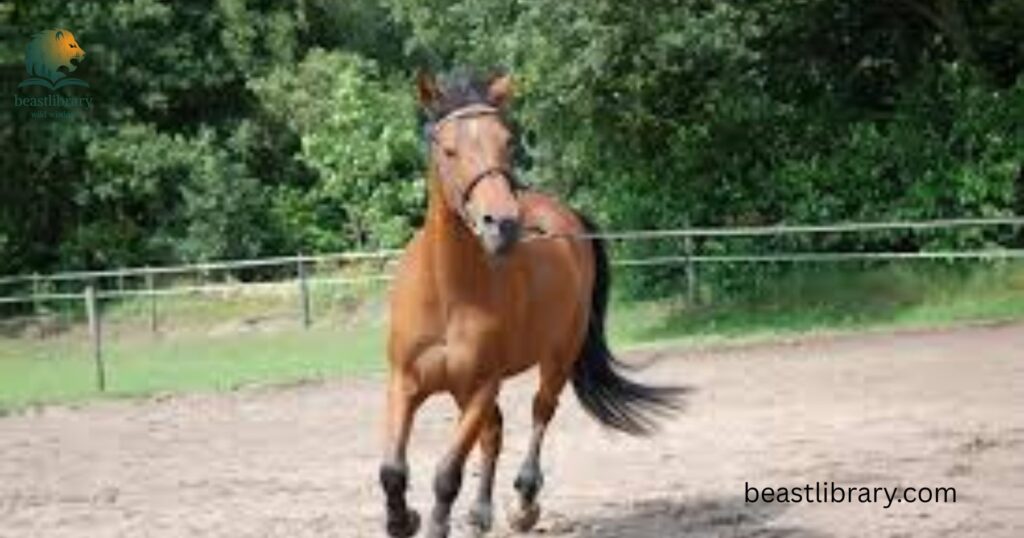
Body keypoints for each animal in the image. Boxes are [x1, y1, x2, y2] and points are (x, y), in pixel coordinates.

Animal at [379, 70, 680, 538]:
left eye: (507, 141)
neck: (447, 292)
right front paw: (402, 519)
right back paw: (481, 512)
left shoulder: (482, 385)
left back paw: (524, 503)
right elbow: (392, 470)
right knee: (494, 433)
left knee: (541, 412)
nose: (502, 224)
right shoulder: (406, 383)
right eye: (449, 150)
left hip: (556, 360)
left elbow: (447, 473)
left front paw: (432, 522)